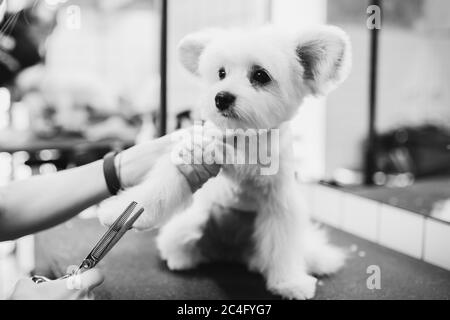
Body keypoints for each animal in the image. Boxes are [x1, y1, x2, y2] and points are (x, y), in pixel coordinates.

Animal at [98, 25, 352, 300]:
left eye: (260, 75)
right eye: (221, 73)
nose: (221, 97)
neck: (245, 141)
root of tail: (230, 250)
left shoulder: (280, 201)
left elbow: (283, 245)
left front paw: (289, 282)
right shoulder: (191, 153)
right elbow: (155, 191)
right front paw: (118, 212)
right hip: (192, 222)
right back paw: (182, 258)